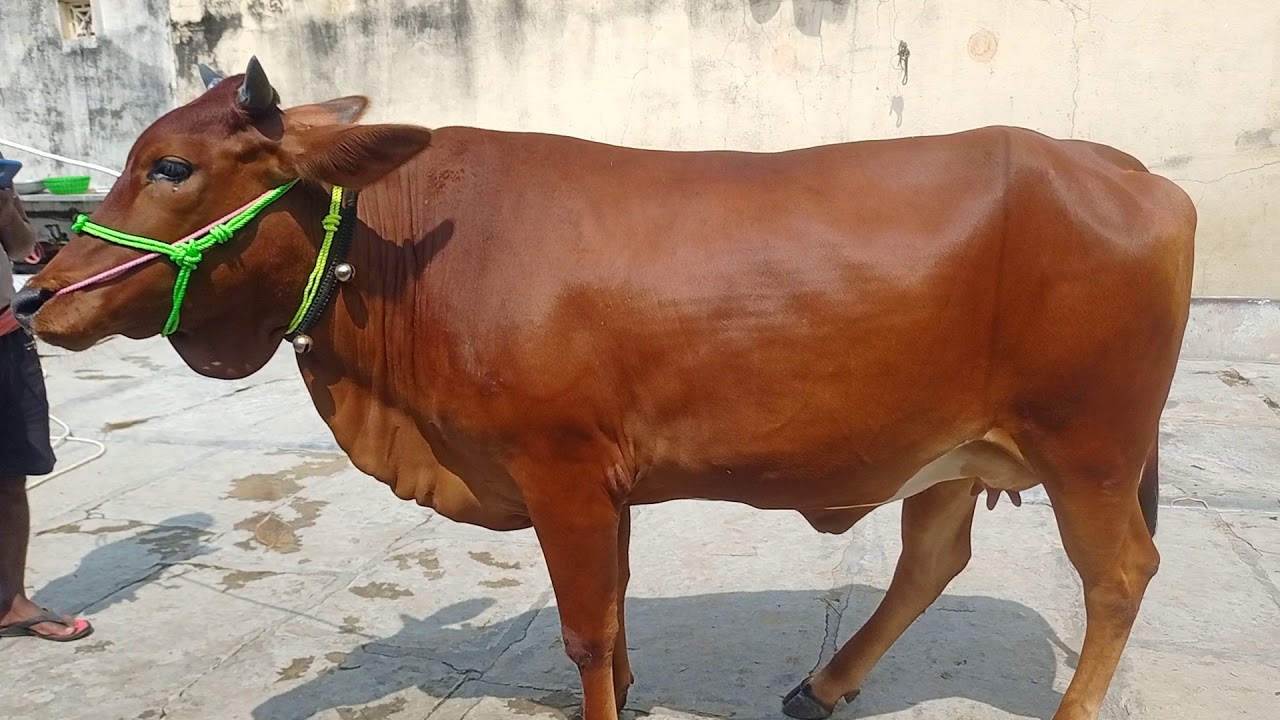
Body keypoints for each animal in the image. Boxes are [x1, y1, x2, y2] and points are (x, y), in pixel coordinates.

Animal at [12, 58, 1195, 720]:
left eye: (171, 167)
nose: (36, 295)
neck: (404, 258)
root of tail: (1121, 167)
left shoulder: (563, 471)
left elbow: (585, 627)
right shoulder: (604, 485)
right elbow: (614, 614)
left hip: (1088, 447)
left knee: (1120, 576)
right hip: (947, 448)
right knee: (932, 561)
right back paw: (822, 687)